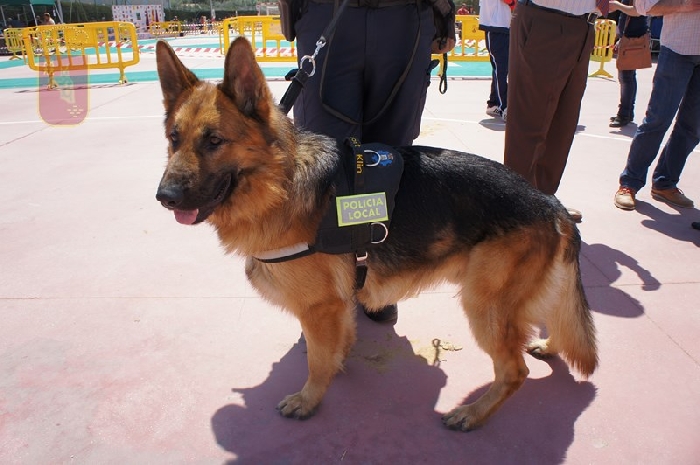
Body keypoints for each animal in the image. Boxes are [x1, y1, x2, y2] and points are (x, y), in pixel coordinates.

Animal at [154, 37, 597, 431]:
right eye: (174, 139)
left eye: (214, 141)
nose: (164, 197)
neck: (280, 180)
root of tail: (549, 201)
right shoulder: (337, 303)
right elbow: (337, 343)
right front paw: (338, 364)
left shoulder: (320, 308)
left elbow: (317, 360)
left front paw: (309, 400)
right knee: (553, 318)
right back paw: (547, 347)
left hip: (484, 305)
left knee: (514, 371)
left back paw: (472, 414)